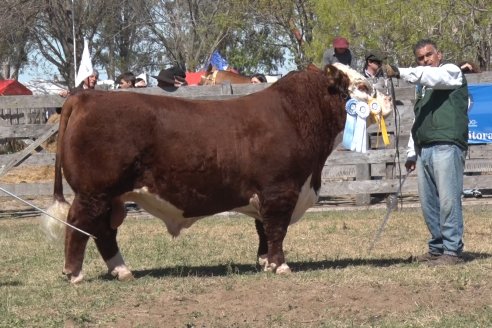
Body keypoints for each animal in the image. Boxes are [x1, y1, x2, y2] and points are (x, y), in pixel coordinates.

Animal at [42, 63, 382, 282]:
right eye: (363, 87)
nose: (388, 101)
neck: (296, 115)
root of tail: (86, 97)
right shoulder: (280, 191)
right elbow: (276, 230)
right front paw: (280, 266)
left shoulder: (266, 195)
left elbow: (262, 229)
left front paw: (263, 263)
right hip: (93, 192)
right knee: (78, 225)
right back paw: (74, 274)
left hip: (111, 198)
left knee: (103, 232)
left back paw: (122, 271)